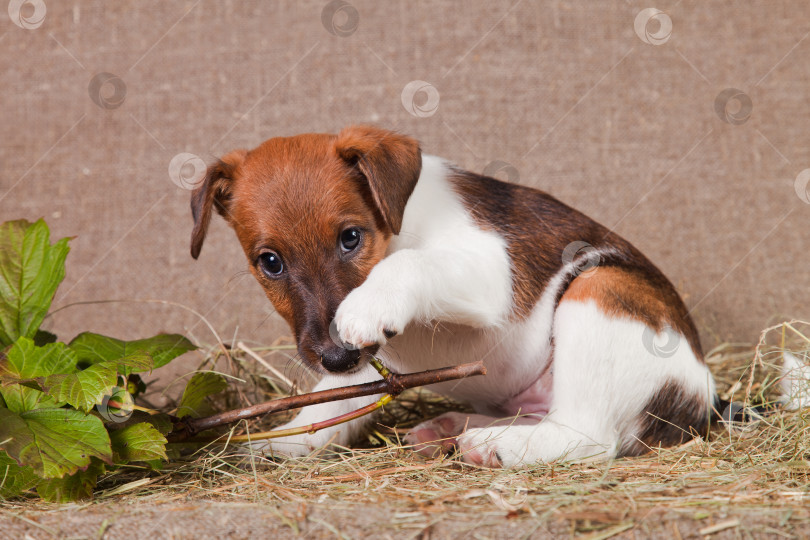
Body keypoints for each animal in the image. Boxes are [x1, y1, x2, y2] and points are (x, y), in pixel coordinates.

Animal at [189, 126, 712, 468]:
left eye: (351, 238)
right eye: (270, 262)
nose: (337, 357)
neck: (396, 225)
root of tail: (704, 396)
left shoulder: (490, 270)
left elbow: (410, 263)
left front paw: (371, 302)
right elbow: (328, 405)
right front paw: (284, 442)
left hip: (598, 287)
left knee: (588, 436)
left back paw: (496, 446)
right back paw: (454, 430)